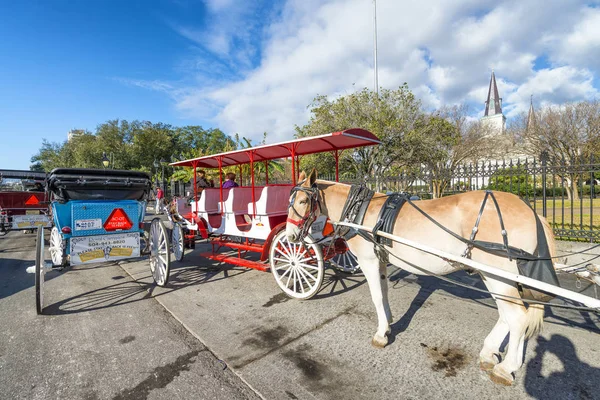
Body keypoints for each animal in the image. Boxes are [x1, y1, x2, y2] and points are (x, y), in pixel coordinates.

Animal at [288, 168, 556, 384]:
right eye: (291, 200)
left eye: (302, 200)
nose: (290, 236)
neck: (360, 211)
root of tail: (533, 213)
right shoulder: (381, 260)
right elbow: (383, 293)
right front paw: (388, 323)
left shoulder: (368, 260)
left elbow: (376, 296)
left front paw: (381, 334)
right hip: (498, 276)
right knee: (507, 315)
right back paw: (490, 352)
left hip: (497, 273)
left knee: (517, 318)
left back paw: (506, 367)